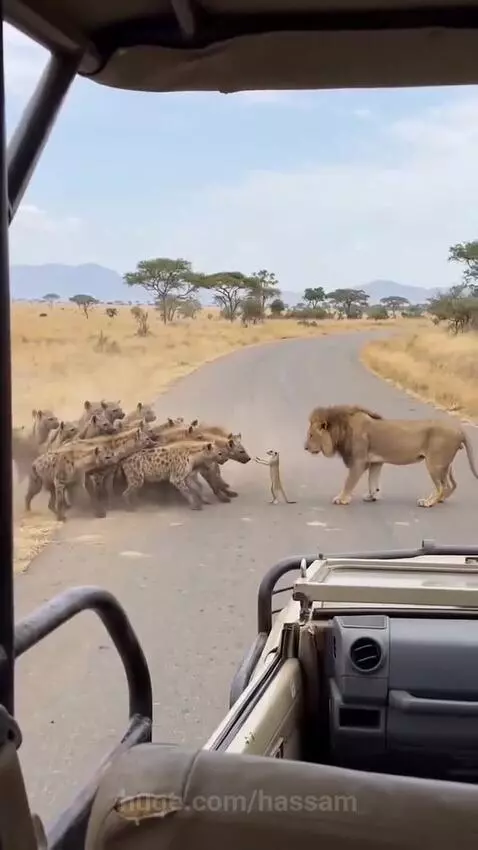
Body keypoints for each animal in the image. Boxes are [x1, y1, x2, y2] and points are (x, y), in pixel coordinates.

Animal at [304, 404, 478, 507]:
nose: (305, 448)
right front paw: (372, 496)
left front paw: (342, 498)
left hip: (434, 463)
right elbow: (373, 481)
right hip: (445, 464)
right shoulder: (375, 462)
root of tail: (459, 429)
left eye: (311, 435)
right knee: (450, 484)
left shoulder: (359, 461)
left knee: (443, 485)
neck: (341, 430)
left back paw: (428, 502)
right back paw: (439, 499)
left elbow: (349, 482)